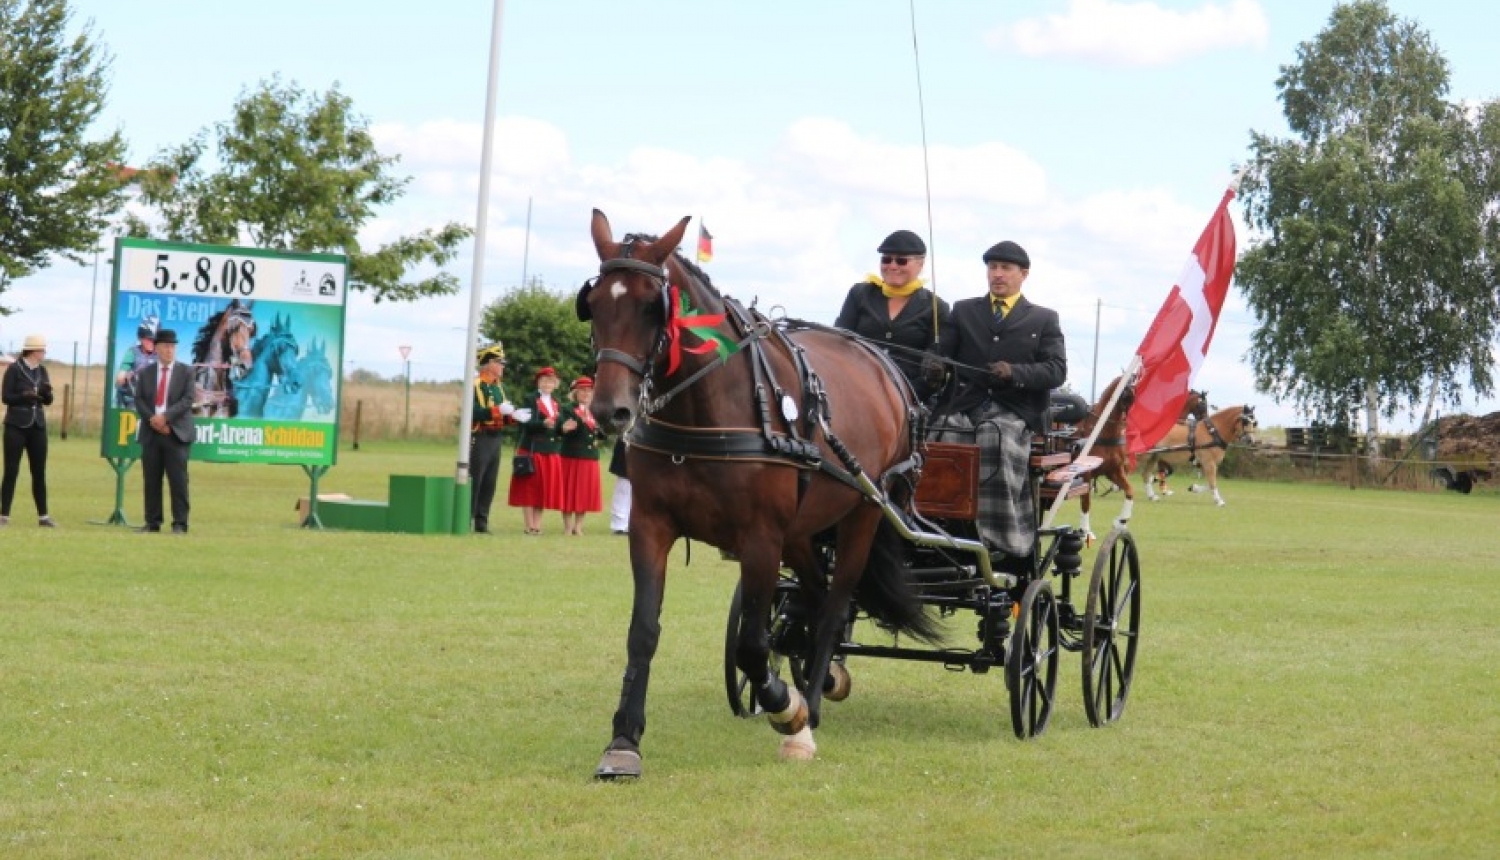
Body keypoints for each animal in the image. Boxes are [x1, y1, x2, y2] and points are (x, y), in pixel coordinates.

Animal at [579, 210, 930, 780]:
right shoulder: (650, 526)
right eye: (593, 305)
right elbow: (644, 631)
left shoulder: (761, 538)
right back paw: (817, 679)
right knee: (814, 597)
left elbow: (750, 645)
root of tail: (885, 366)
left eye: (653, 307)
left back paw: (810, 706)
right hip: (805, 530)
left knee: (834, 605)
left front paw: (787, 710)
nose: (611, 410)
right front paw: (624, 740)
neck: (709, 410)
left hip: (862, 515)